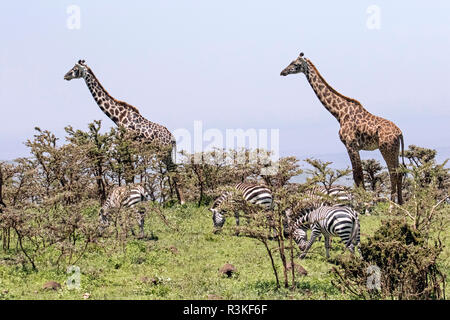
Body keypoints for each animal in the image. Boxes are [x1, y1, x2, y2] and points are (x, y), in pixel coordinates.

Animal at [63, 59, 185, 205]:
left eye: (75, 69)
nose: (65, 76)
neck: (118, 117)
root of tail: (172, 137)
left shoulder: (126, 144)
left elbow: (128, 173)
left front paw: (128, 196)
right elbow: (129, 173)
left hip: (163, 152)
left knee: (174, 171)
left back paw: (182, 202)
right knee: (173, 170)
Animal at [282, 52, 404, 202]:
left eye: (295, 64)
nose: (283, 72)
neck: (338, 113)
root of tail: (399, 132)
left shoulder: (351, 144)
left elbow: (358, 176)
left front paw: (362, 202)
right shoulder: (353, 146)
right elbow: (358, 176)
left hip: (386, 148)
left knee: (393, 173)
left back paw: (393, 204)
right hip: (394, 149)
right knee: (399, 173)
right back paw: (401, 203)